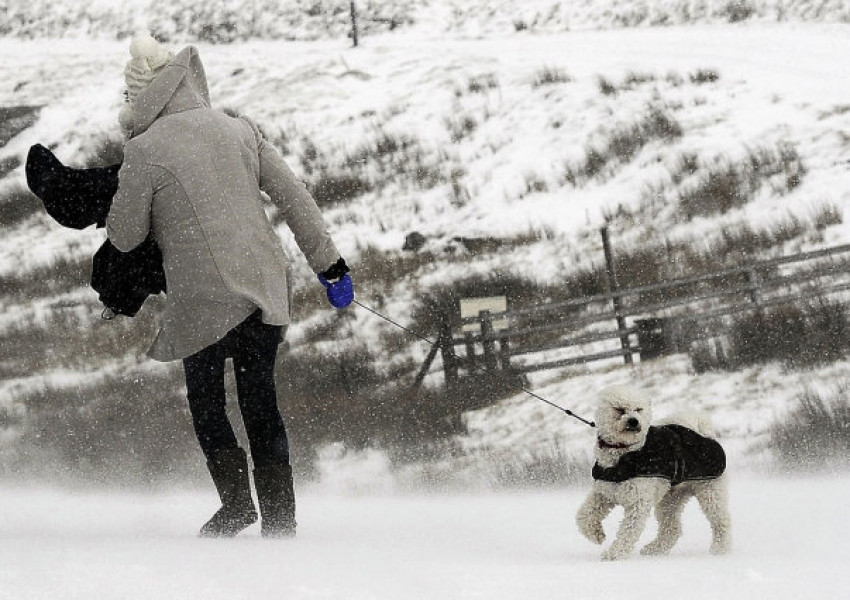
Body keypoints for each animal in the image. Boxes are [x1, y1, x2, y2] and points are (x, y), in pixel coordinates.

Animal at [576, 386, 728, 560]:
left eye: (638, 409)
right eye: (619, 409)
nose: (634, 421)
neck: (624, 452)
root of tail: (705, 434)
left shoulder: (638, 502)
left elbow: (627, 532)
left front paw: (614, 554)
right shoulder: (604, 493)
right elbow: (583, 515)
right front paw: (596, 534)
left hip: (710, 492)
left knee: (721, 522)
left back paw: (720, 549)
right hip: (670, 500)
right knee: (672, 529)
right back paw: (654, 550)